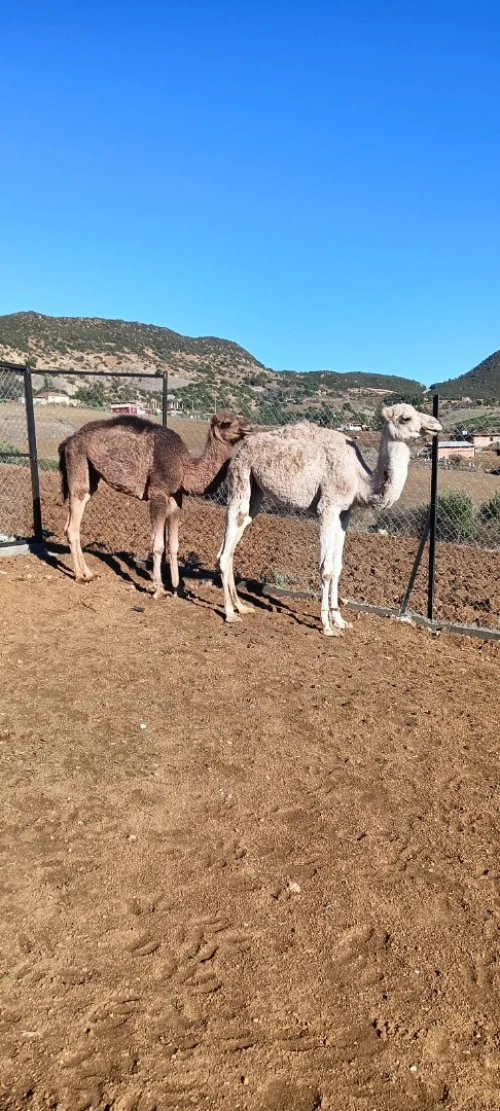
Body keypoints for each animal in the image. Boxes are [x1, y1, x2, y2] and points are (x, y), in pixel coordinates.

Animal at [58, 411, 252, 596]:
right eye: (226, 423)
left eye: (240, 416)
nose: (249, 427)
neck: (184, 467)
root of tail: (69, 441)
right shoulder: (157, 493)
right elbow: (158, 545)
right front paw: (159, 590)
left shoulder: (176, 497)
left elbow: (174, 546)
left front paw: (178, 590)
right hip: (78, 461)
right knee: (73, 523)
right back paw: (80, 576)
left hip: (90, 474)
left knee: (75, 516)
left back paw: (89, 573)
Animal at [217, 403, 442, 635]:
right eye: (405, 418)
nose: (435, 425)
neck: (360, 479)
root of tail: (241, 449)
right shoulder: (328, 507)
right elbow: (326, 569)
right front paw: (327, 626)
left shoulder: (345, 512)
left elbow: (338, 566)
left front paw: (340, 620)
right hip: (240, 476)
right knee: (229, 536)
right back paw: (230, 614)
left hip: (256, 492)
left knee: (236, 535)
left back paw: (242, 607)